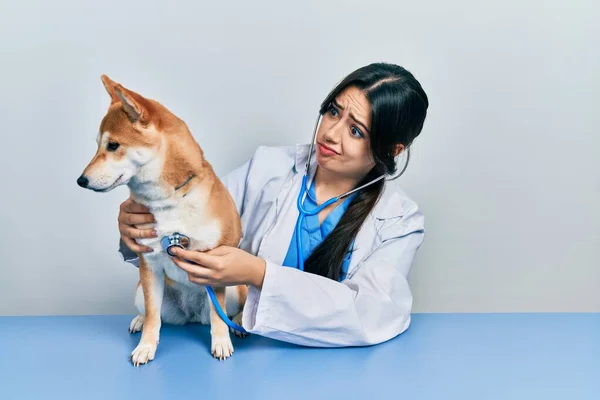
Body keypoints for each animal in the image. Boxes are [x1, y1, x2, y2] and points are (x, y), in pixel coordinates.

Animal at [78, 75, 247, 366]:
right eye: (98, 145)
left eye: (113, 146)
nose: (81, 180)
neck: (169, 202)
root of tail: (192, 315)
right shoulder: (150, 264)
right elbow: (153, 319)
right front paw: (146, 346)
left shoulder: (216, 264)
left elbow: (218, 315)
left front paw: (221, 342)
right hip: (141, 290)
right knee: (153, 313)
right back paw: (139, 319)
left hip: (235, 287)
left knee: (226, 313)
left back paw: (237, 325)